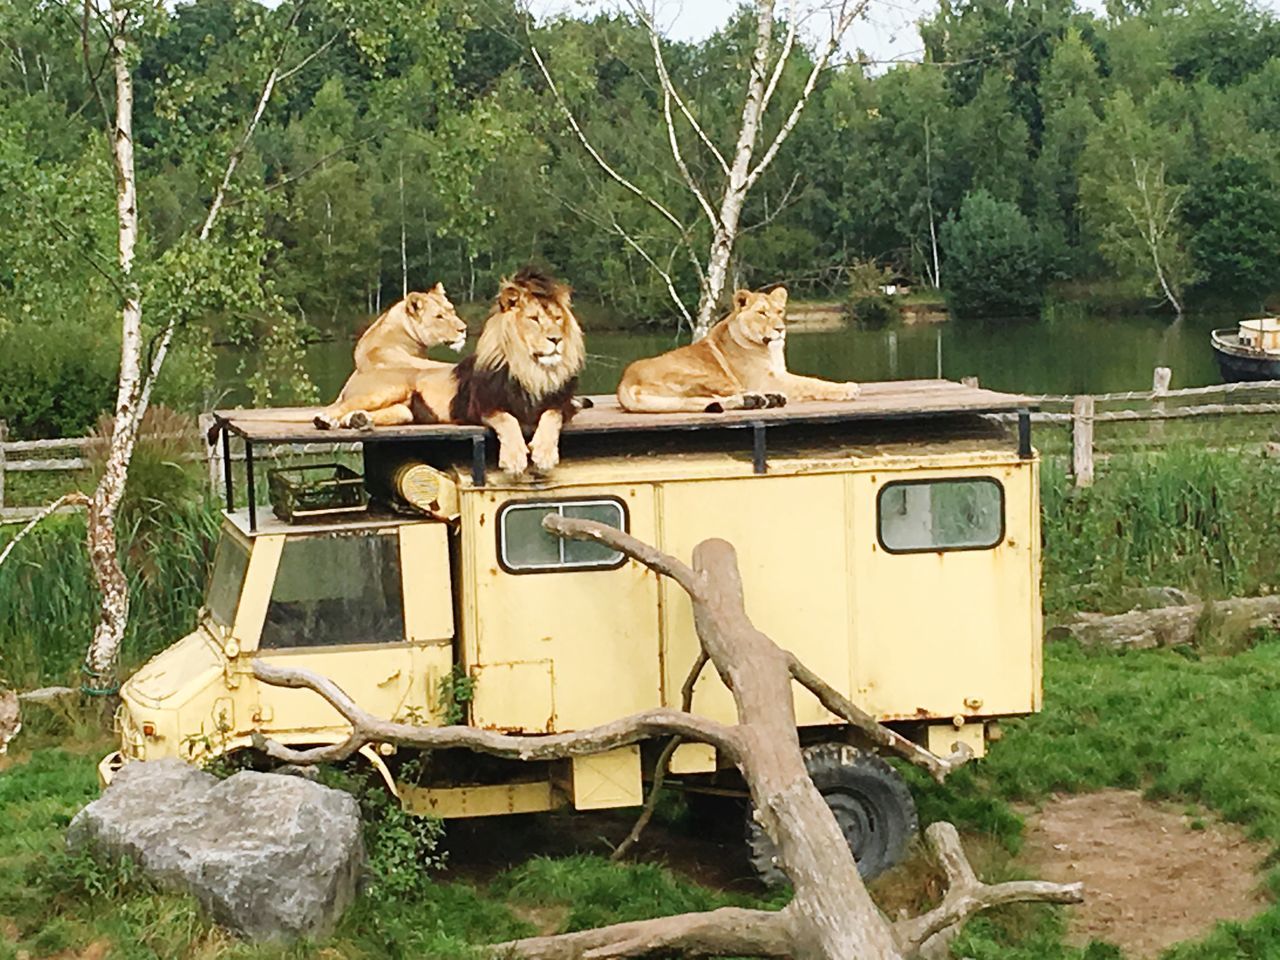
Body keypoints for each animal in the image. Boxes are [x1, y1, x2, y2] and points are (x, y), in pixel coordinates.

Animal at [409, 267, 586, 478]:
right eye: (534, 319)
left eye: (557, 318)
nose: (557, 339)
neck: (531, 370)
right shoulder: (480, 406)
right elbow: (506, 419)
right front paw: (514, 459)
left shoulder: (563, 403)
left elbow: (552, 416)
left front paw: (544, 454)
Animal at [616, 289, 860, 417]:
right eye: (762, 313)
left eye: (779, 311)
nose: (780, 329)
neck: (769, 349)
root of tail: (626, 382)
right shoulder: (766, 378)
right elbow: (811, 383)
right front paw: (848, 388)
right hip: (709, 377)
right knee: (721, 396)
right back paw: (759, 399)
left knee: (704, 402)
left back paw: (764, 400)